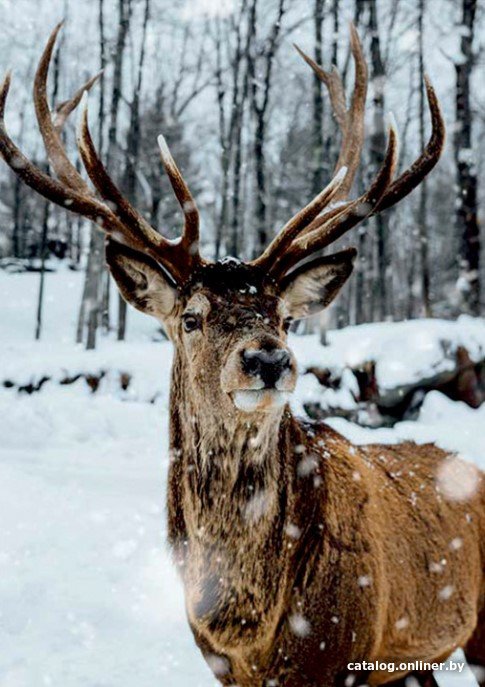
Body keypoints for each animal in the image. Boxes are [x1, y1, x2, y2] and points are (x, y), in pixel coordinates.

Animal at [1, 22, 484, 687]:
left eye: (285, 317)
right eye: (192, 318)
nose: (269, 360)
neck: (251, 628)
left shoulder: (346, 654)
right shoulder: (224, 667)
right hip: (414, 662)